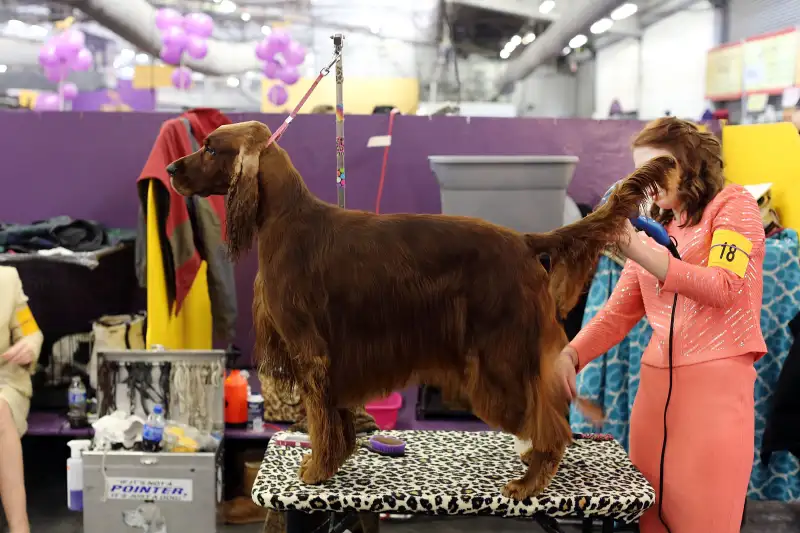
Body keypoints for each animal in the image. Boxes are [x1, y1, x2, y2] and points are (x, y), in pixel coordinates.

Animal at [170, 120, 676, 498]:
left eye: (211, 148)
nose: (173, 168)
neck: (285, 218)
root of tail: (524, 240)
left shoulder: (311, 351)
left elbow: (319, 417)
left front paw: (315, 469)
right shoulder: (334, 357)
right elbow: (334, 416)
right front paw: (333, 460)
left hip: (501, 353)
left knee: (549, 419)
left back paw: (531, 479)